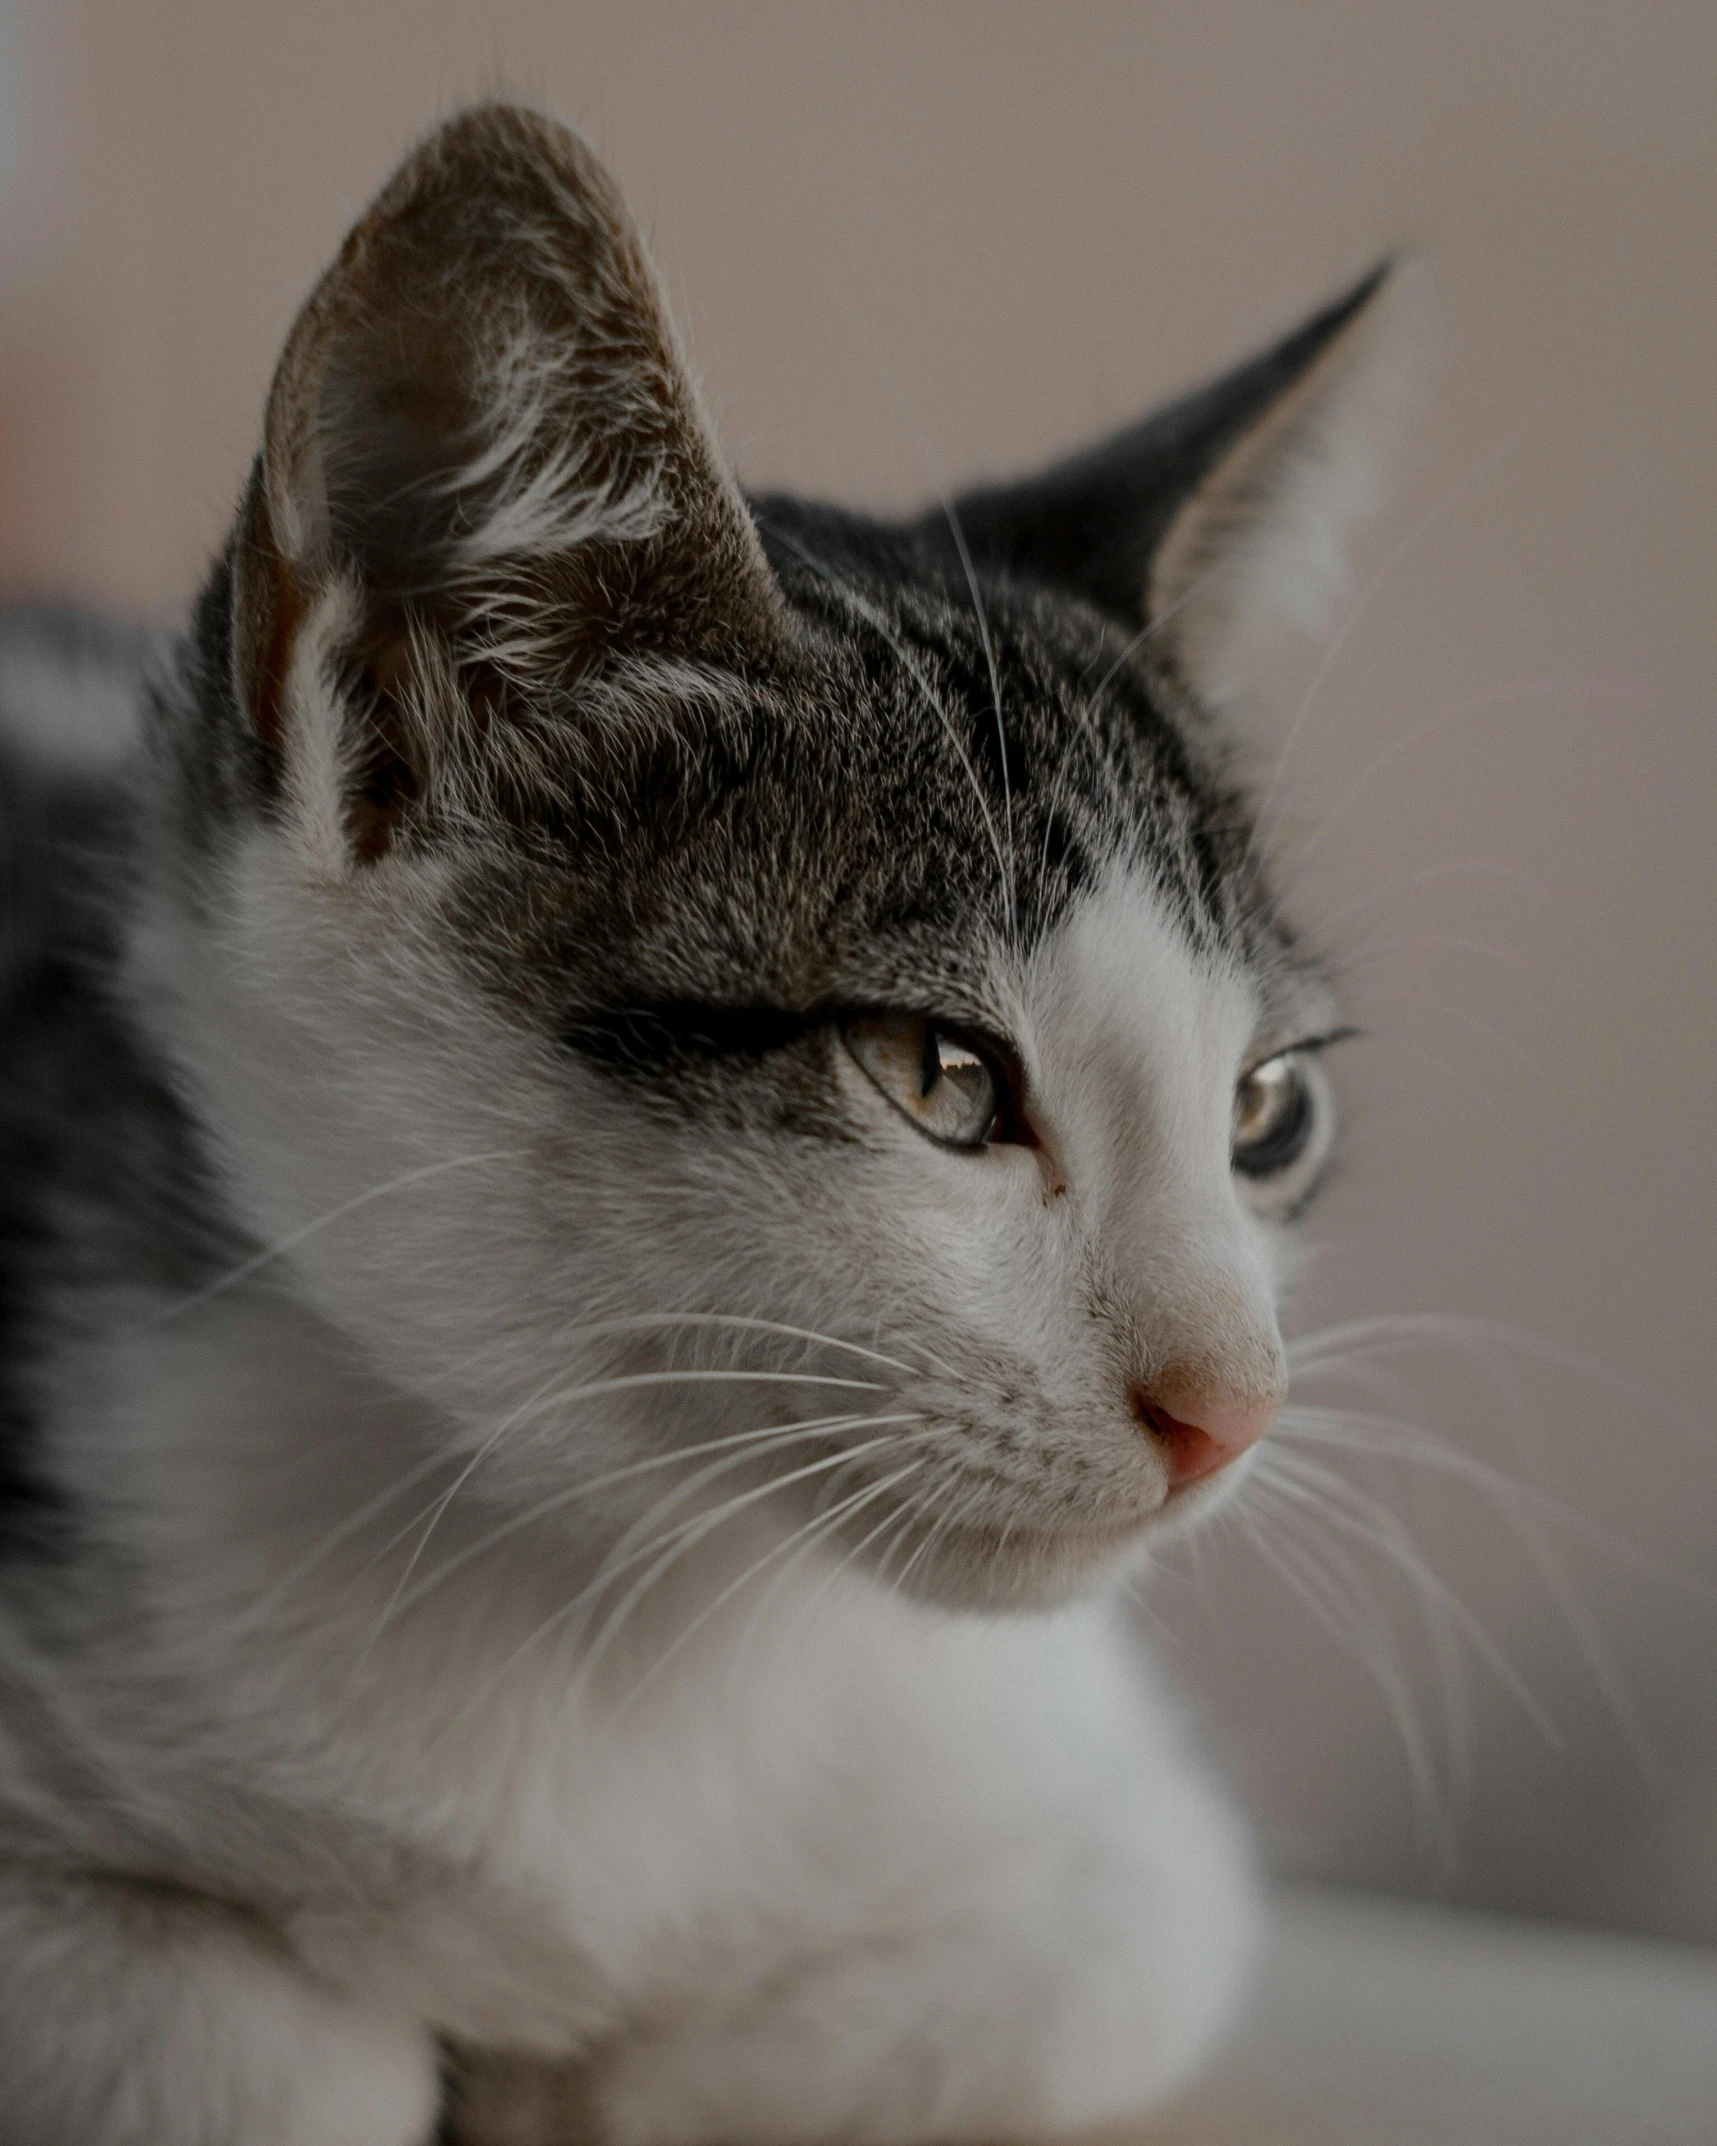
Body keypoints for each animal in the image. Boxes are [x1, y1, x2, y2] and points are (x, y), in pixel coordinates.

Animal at [0, 104, 1390, 2146]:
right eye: (938, 1074)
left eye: (1268, 1108)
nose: (1235, 1412)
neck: (633, 1616)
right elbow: (240, 2054)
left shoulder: (1126, 1832)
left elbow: (1014, 1983)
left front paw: (576, 2072)